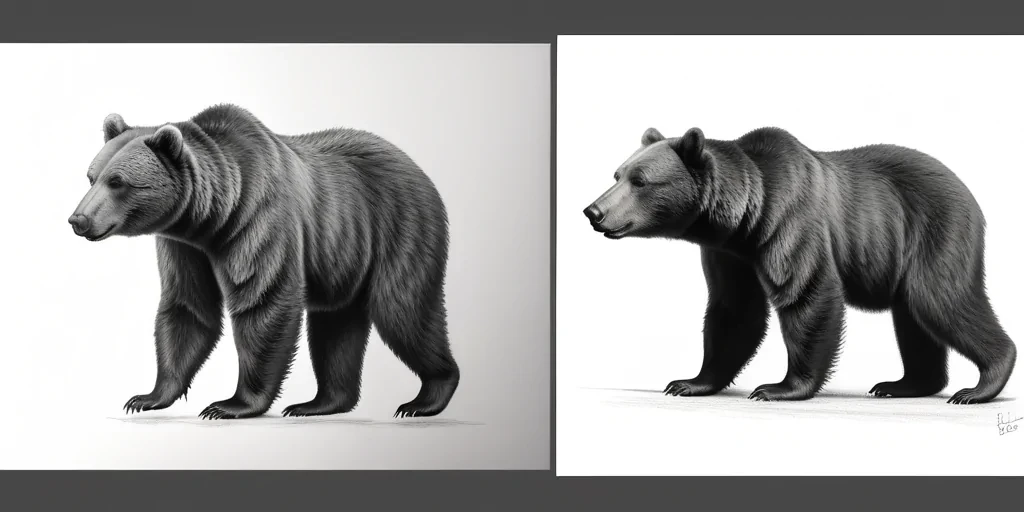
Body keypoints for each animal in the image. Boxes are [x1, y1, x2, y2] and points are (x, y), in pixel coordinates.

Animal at [68, 104, 459, 419]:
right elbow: (188, 307)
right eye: (91, 176)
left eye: (118, 181)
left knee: (403, 310)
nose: (78, 220)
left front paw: (228, 405)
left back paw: (425, 398)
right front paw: (146, 397)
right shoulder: (184, 247)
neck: (212, 216)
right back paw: (318, 404)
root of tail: (418, 168)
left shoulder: (259, 219)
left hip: (401, 226)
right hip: (346, 254)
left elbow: (263, 301)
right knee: (335, 325)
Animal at [583, 126, 1017, 404]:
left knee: (940, 300)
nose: (594, 211)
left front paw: (778, 388)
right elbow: (733, 311)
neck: (746, 216)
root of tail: (969, 193)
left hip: (936, 231)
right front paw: (688, 382)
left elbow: (807, 295)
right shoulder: (730, 254)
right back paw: (902, 384)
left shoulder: (791, 221)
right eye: (617, 174)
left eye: (640, 180)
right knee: (914, 317)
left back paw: (978, 386)